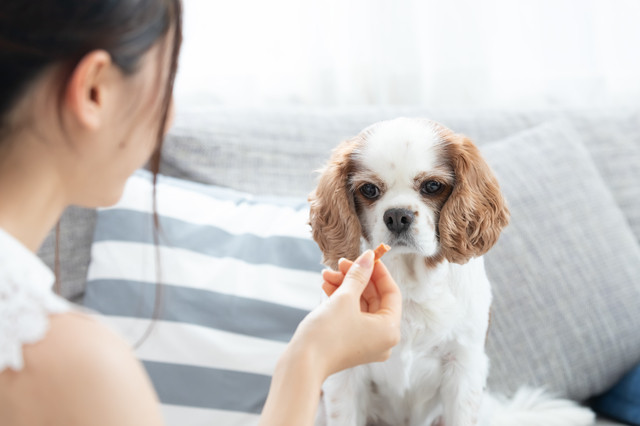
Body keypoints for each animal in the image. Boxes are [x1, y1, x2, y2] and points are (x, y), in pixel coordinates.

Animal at [310, 117, 596, 426]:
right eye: (369, 190)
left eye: (432, 186)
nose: (397, 215)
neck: (411, 279)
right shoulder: (344, 377)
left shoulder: (465, 368)